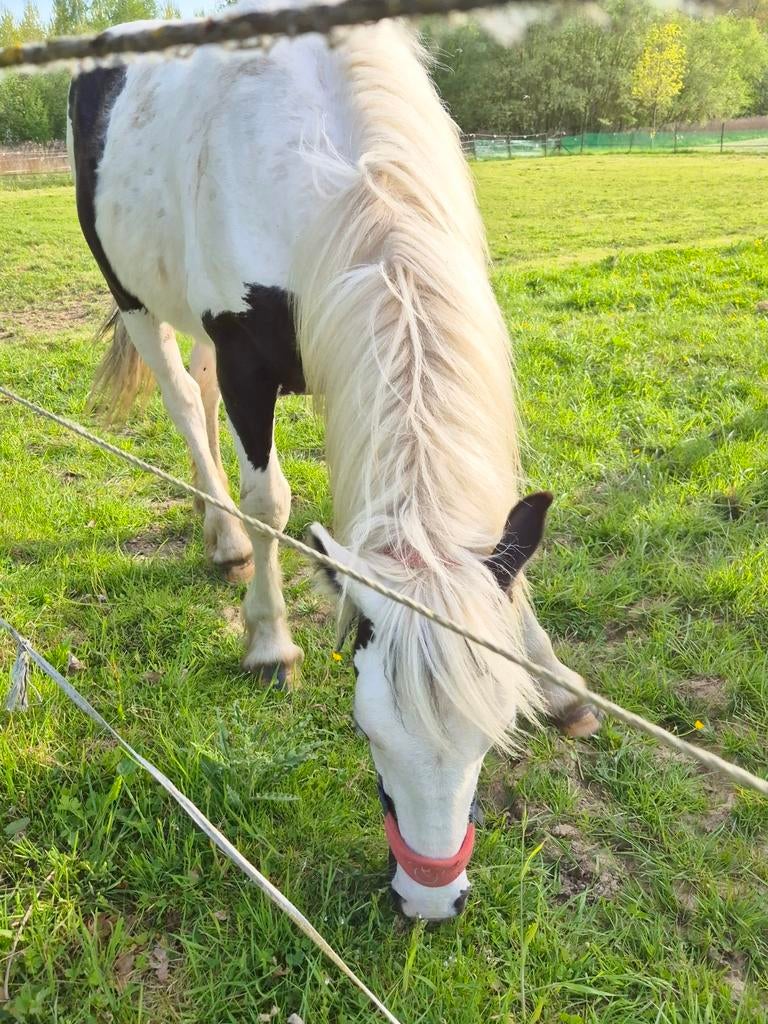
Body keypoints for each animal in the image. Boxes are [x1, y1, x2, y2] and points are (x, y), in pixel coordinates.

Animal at [67, 0, 601, 922]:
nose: (431, 900)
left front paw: (558, 678)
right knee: (185, 405)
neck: (347, 172)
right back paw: (223, 538)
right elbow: (272, 504)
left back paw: (213, 528)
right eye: (366, 728)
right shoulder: (247, 364)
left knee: (196, 393)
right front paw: (269, 643)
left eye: (493, 732)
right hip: (134, 299)